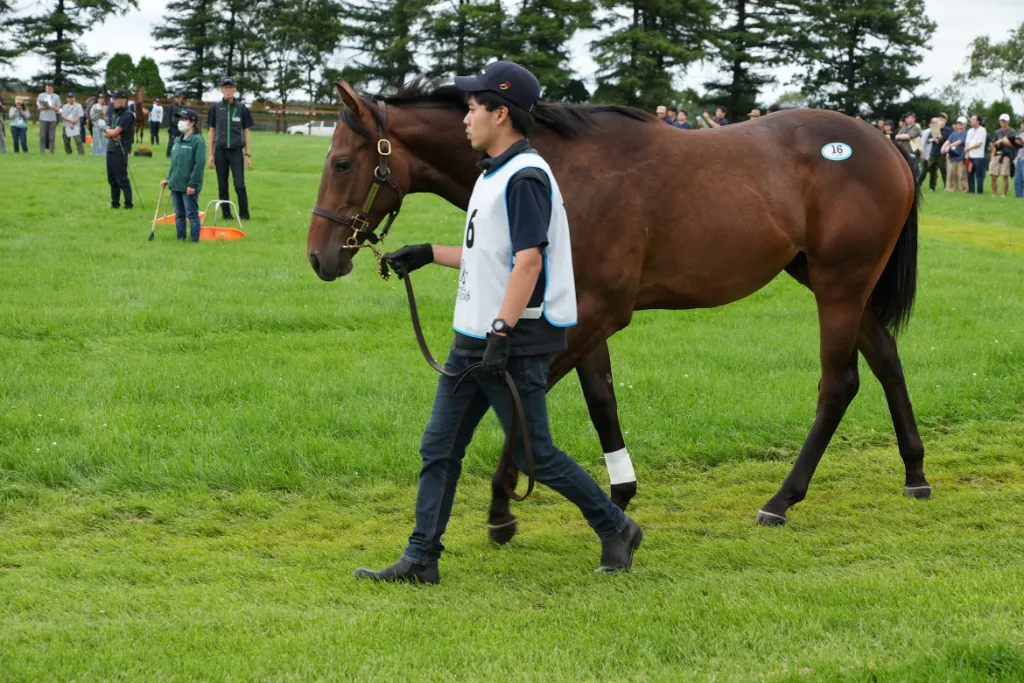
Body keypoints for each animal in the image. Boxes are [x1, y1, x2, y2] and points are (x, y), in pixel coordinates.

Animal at [307, 79, 929, 540]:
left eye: (341, 163)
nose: (319, 256)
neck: (556, 169)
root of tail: (885, 144)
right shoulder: (579, 314)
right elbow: (600, 398)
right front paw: (620, 490)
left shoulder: (597, 311)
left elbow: (519, 398)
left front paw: (502, 503)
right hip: (832, 282)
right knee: (887, 360)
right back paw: (915, 472)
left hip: (840, 285)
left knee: (839, 384)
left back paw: (782, 498)